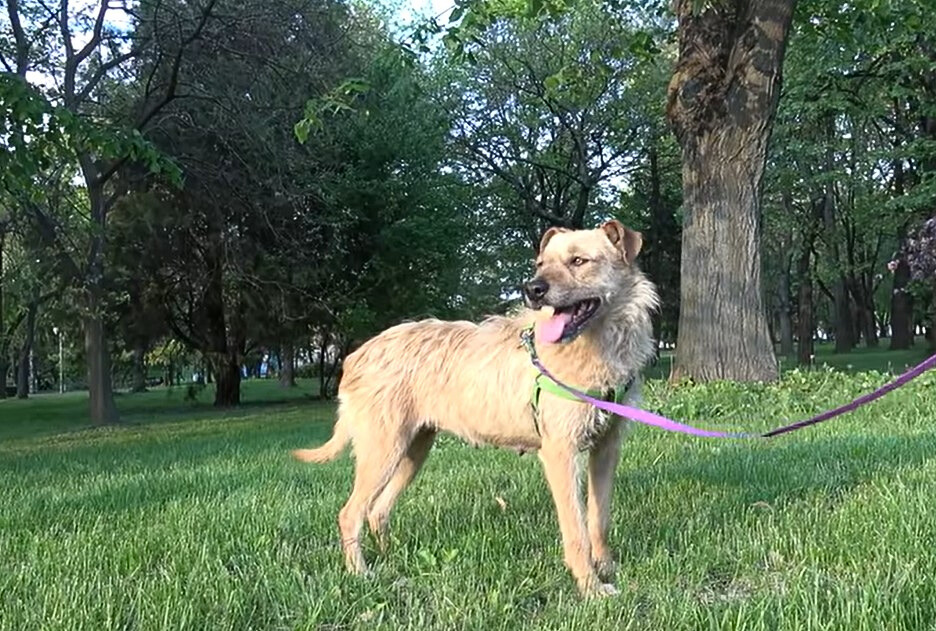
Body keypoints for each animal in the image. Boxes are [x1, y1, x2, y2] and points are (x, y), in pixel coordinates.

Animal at [292, 220, 660, 596]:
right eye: (541, 263)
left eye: (579, 261)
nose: (532, 289)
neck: (596, 346)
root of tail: (355, 356)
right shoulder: (561, 453)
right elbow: (576, 531)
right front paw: (590, 587)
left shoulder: (606, 449)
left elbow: (599, 519)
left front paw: (608, 567)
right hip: (382, 450)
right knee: (350, 513)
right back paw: (361, 573)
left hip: (412, 450)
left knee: (377, 510)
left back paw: (392, 558)